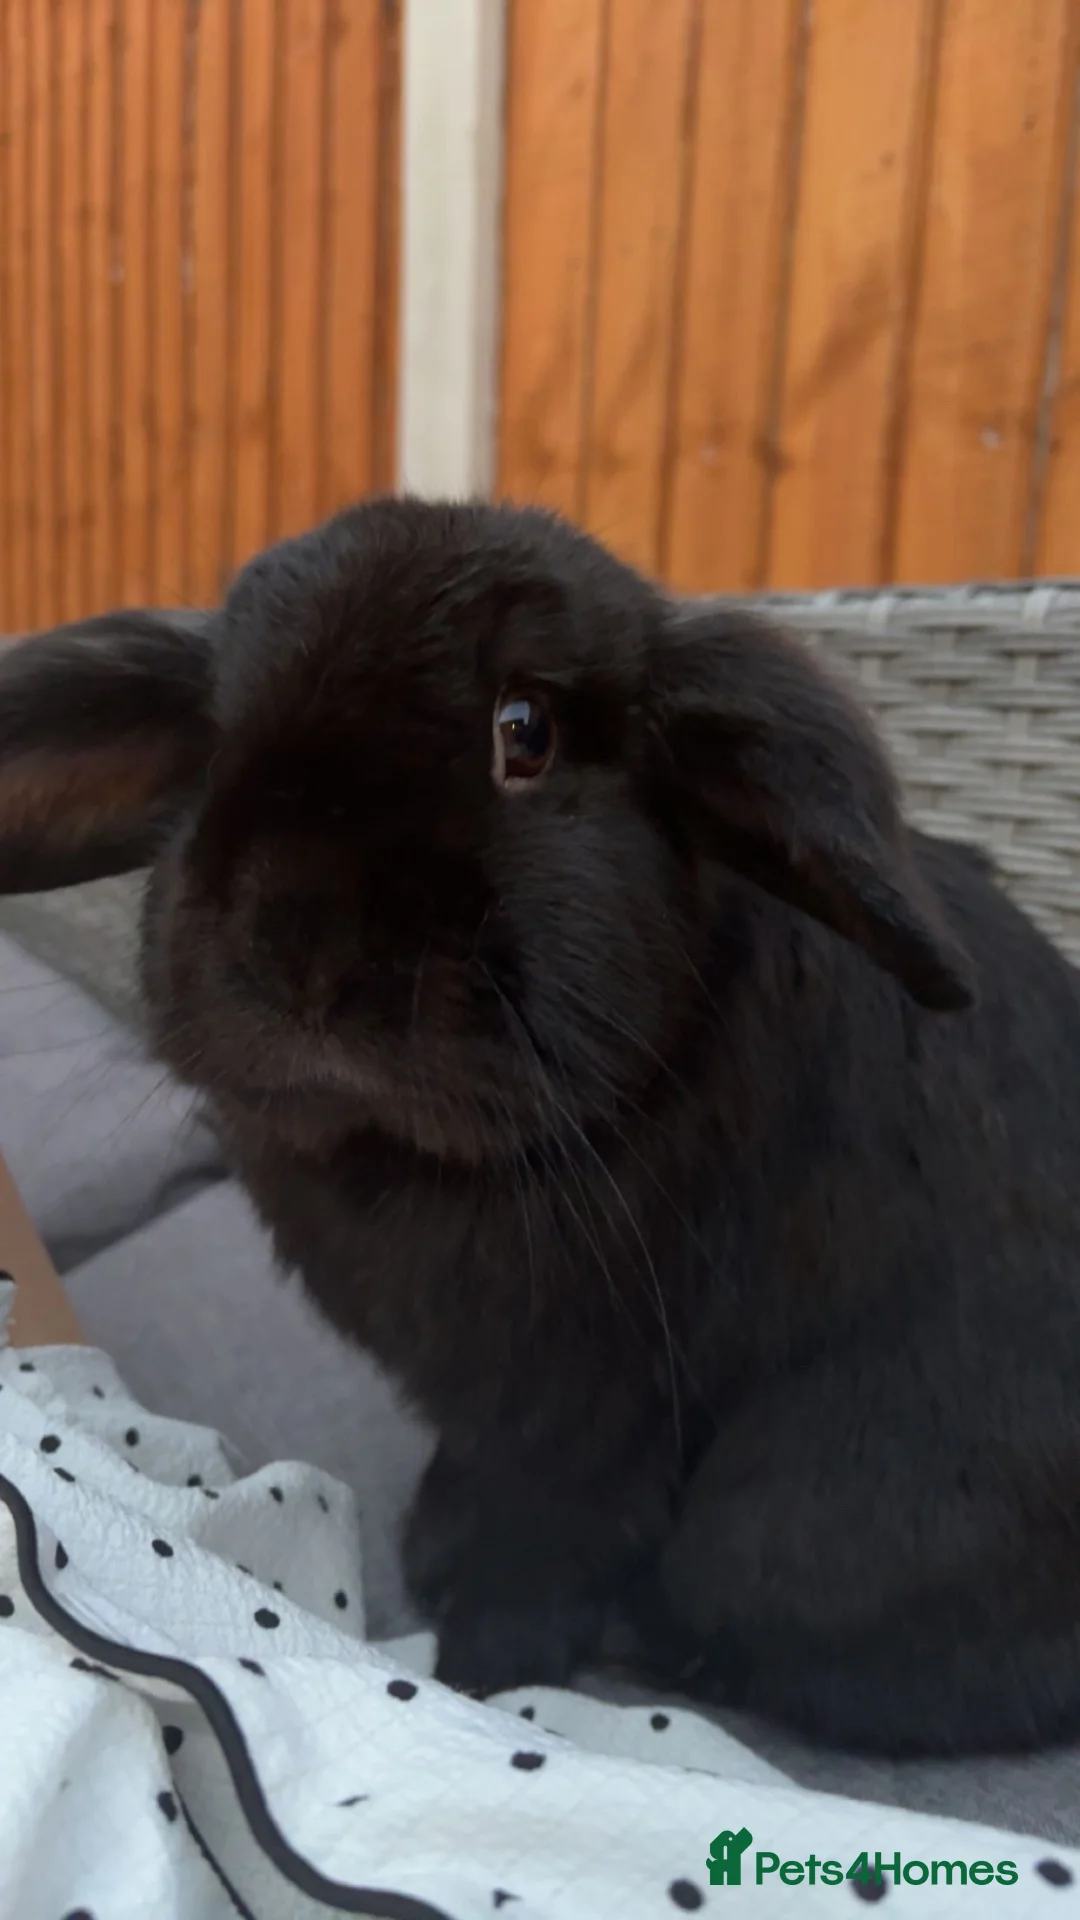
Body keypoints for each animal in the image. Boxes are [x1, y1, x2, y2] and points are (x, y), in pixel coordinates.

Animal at [4, 494, 1080, 1760]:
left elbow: (542, 1554)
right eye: (214, 745)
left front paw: (481, 1673)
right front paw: (433, 1544)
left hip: (798, 1522)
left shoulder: (595, 1414)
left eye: (528, 733)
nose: (301, 948)